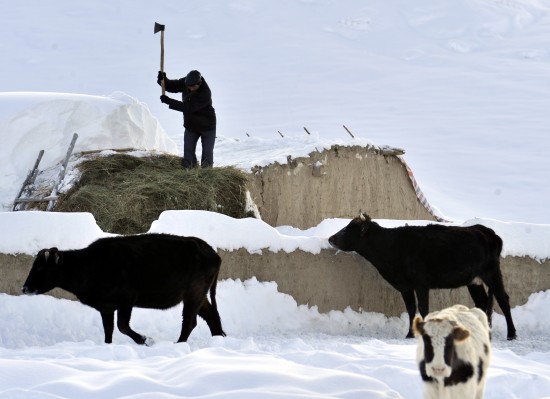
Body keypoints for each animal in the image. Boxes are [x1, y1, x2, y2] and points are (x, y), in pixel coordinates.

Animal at [22, 234, 226, 344]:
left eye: (40, 268)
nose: (24, 288)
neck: (90, 265)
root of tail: (213, 252)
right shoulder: (106, 307)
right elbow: (108, 330)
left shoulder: (126, 300)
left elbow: (122, 326)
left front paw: (146, 340)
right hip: (199, 295)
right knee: (211, 315)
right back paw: (219, 338)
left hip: (193, 293)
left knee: (190, 321)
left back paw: (179, 343)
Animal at [332, 212, 516, 340]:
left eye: (347, 229)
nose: (331, 238)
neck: (391, 246)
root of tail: (487, 231)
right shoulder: (405, 286)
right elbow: (411, 308)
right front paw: (409, 334)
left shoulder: (421, 284)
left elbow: (423, 308)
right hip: (474, 281)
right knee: (482, 303)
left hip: (492, 274)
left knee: (503, 299)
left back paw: (511, 334)